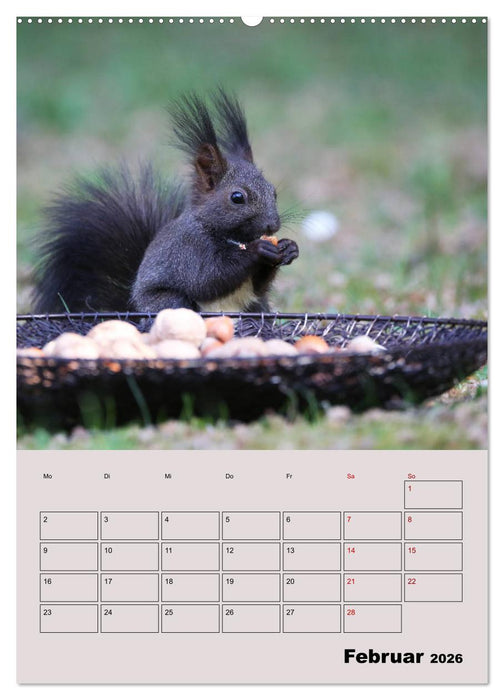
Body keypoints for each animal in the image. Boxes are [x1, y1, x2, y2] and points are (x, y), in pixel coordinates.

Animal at [32, 89, 299, 314]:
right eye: (237, 197)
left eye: (273, 192)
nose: (273, 225)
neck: (233, 238)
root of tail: (133, 310)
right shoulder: (187, 250)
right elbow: (207, 278)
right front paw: (258, 250)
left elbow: (258, 286)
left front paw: (288, 248)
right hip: (169, 301)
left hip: (256, 307)